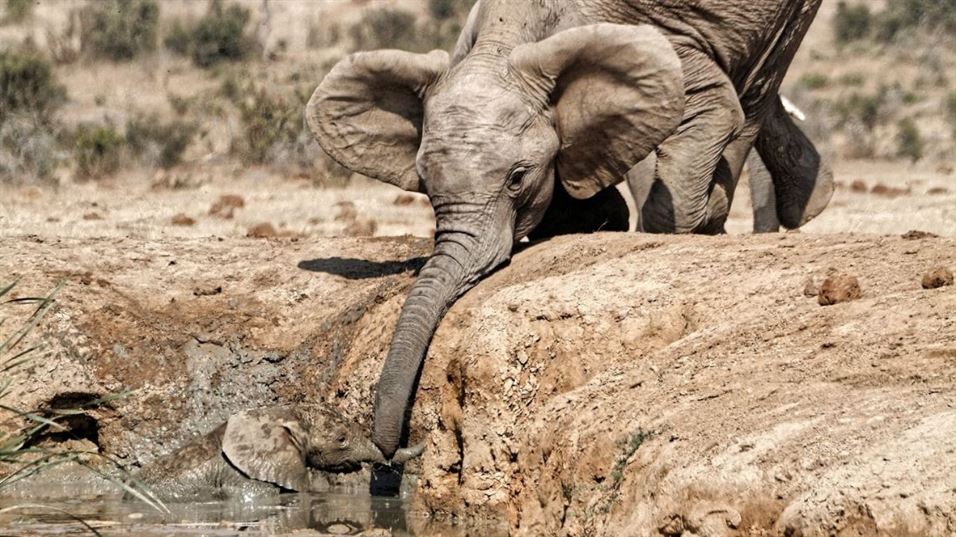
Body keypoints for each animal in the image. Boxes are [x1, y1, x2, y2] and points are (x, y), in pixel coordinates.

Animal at [308, 0, 828, 456]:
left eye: (517, 179)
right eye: (425, 182)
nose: (400, 447)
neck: (504, 40)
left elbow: (713, 104)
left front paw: (692, 220)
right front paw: (601, 214)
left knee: (754, 89)